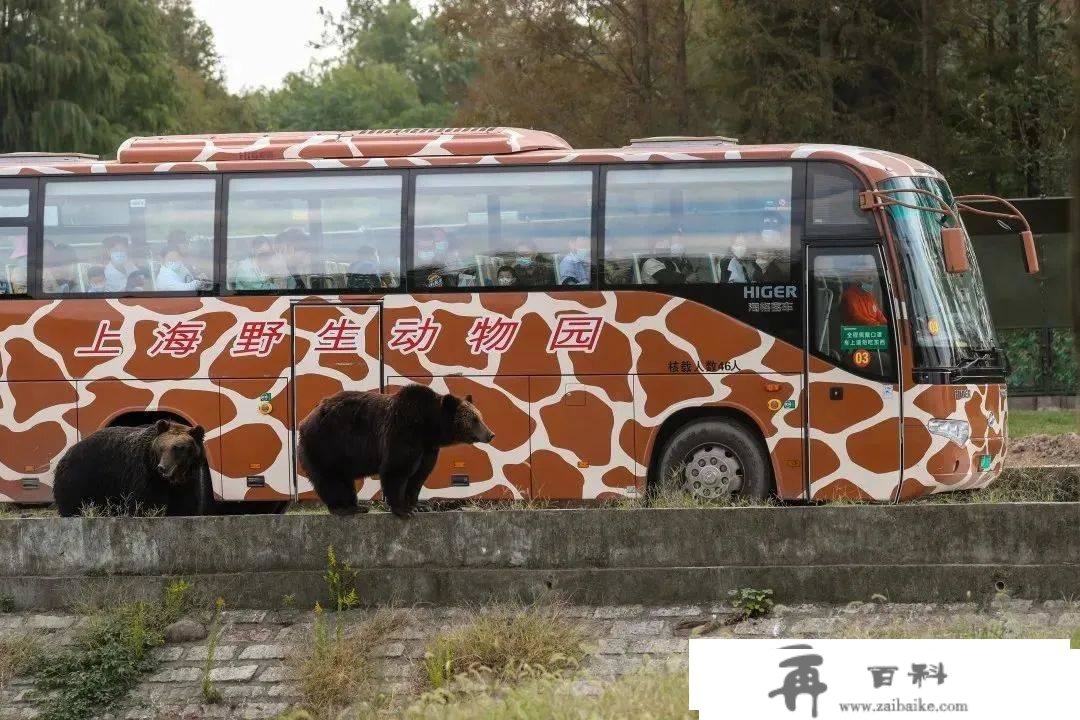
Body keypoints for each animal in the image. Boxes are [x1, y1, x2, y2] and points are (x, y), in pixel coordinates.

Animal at [52, 423, 208, 518]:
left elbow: (186, 506)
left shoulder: (188, 482)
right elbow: (145, 504)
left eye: (178, 448)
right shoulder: (145, 475)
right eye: (161, 447)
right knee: (72, 505)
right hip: (81, 479)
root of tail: (67, 453)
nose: (162, 468)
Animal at [298, 388, 494, 518]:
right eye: (474, 419)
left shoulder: (427, 449)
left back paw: (356, 506)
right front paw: (403, 509)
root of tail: (306, 419)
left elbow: (419, 475)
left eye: (480, 417)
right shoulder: (403, 430)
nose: (491, 434)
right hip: (328, 443)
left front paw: (417, 505)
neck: (429, 427)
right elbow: (397, 469)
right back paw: (344, 508)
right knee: (331, 478)